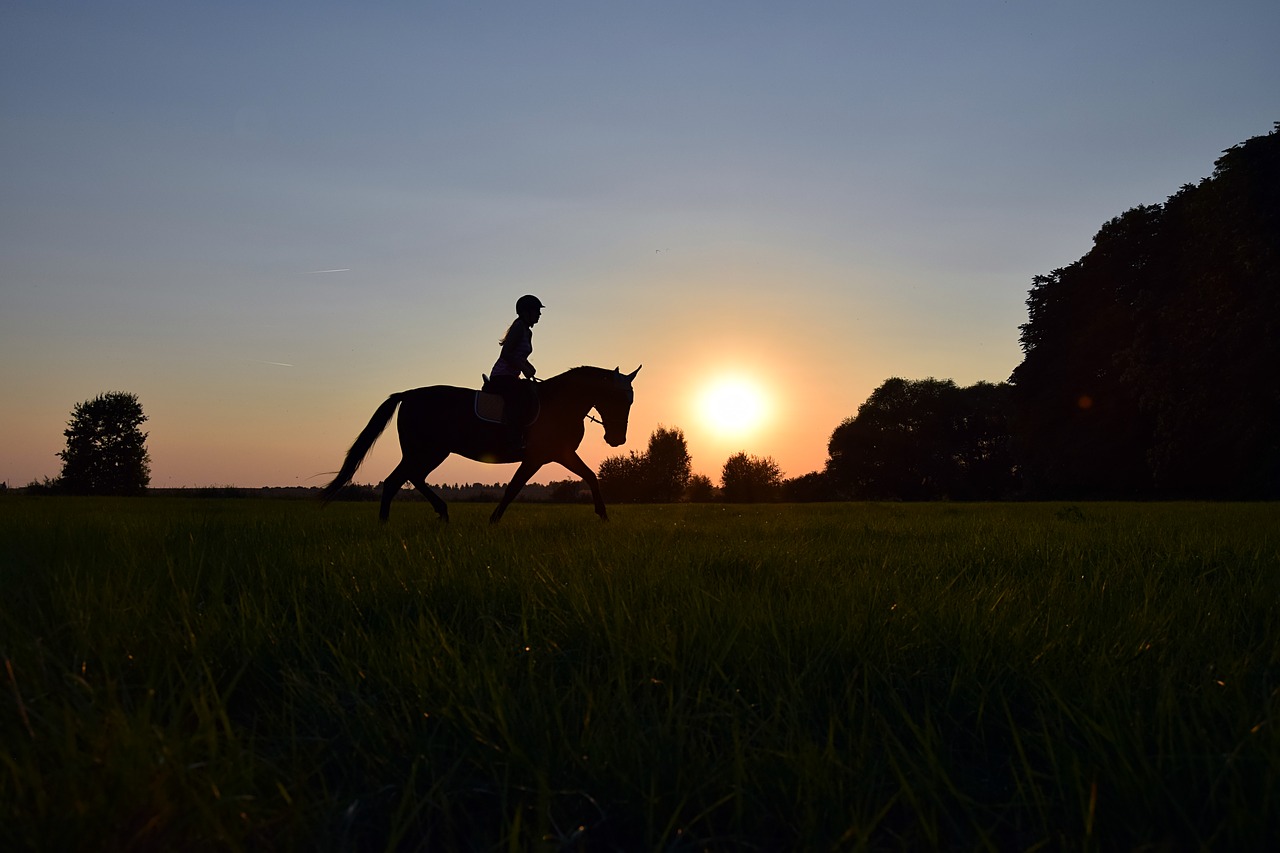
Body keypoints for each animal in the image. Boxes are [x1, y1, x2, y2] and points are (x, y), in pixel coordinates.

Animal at [320, 363, 640, 522]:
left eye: (630, 401)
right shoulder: (539, 456)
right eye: (616, 398)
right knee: (397, 480)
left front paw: (603, 515)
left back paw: (436, 513)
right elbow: (513, 488)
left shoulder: (559, 454)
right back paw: (389, 523)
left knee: (407, 478)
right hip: (426, 450)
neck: (560, 403)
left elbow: (591, 476)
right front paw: (493, 520)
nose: (617, 439)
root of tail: (408, 394)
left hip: (430, 451)